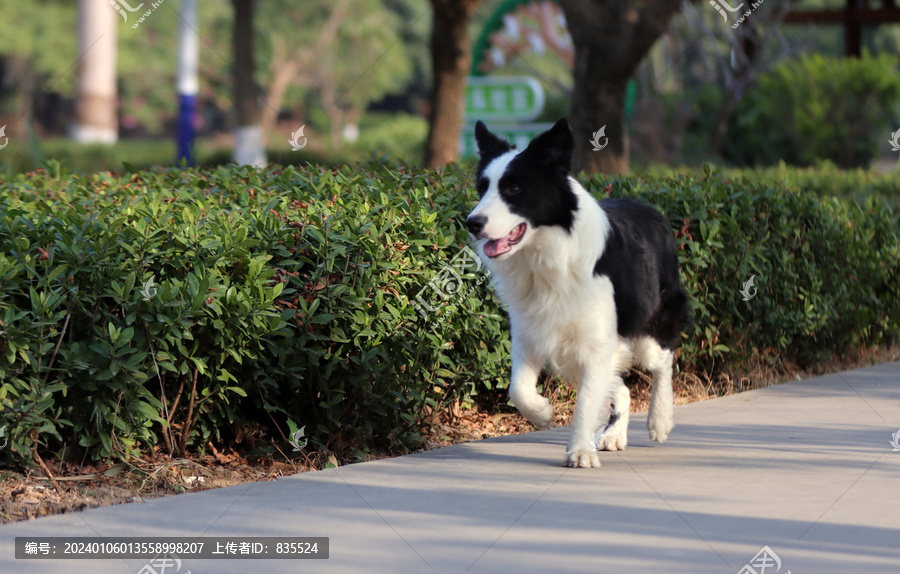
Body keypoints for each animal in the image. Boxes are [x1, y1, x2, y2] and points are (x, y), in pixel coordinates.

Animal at [464, 119, 688, 470]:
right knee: (622, 387)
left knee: (662, 361)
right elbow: (518, 389)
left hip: (653, 326)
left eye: (514, 188)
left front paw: (580, 452)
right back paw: (614, 434)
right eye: (483, 188)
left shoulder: (596, 342)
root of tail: (653, 211)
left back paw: (660, 420)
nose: (472, 223)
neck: (546, 256)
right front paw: (542, 414)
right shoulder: (530, 332)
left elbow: (586, 401)